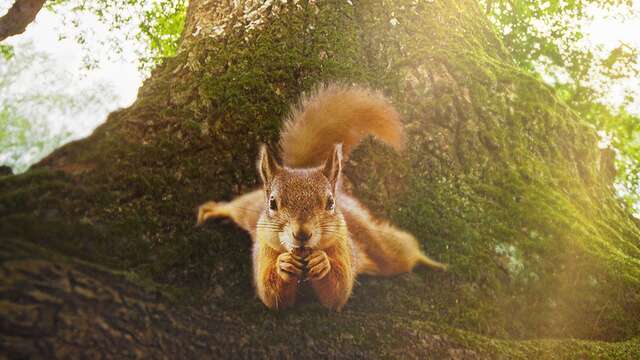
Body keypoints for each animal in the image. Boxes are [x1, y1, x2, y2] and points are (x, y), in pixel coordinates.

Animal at [196, 83, 444, 310]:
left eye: (330, 203)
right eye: (273, 203)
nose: (302, 234)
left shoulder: (343, 246)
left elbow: (338, 292)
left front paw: (322, 263)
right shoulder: (264, 250)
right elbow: (272, 296)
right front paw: (283, 264)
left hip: (375, 243)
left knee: (399, 250)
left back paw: (432, 261)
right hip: (249, 209)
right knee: (236, 207)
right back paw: (214, 209)